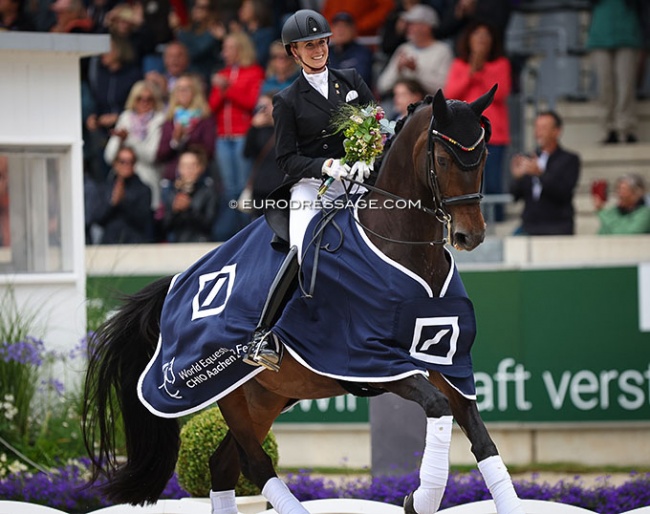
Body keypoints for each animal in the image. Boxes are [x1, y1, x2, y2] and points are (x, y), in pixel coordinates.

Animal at [82, 86, 520, 512]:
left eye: (482, 156)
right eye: (443, 159)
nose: (470, 236)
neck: (400, 245)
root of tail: (177, 284)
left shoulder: (448, 362)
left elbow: (482, 439)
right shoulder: (373, 360)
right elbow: (438, 408)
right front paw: (419, 499)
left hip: (267, 396)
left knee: (223, 465)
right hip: (231, 394)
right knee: (253, 464)